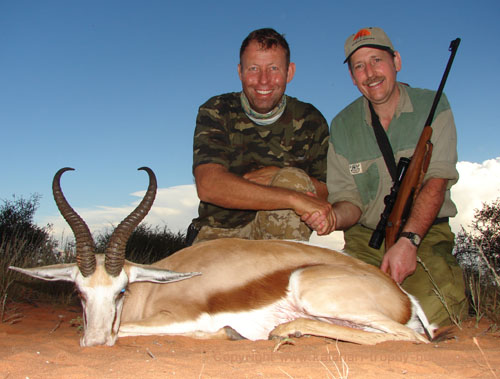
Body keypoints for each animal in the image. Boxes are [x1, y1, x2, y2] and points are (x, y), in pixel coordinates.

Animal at [10, 168, 434, 348]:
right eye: (79, 293)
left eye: (121, 291)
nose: (95, 343)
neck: (151, 291)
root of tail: (404, 298)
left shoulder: (179, 316)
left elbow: (126, 330)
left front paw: (225, 333)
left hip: (313, 289)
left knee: (410, 339)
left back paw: (282, 332)